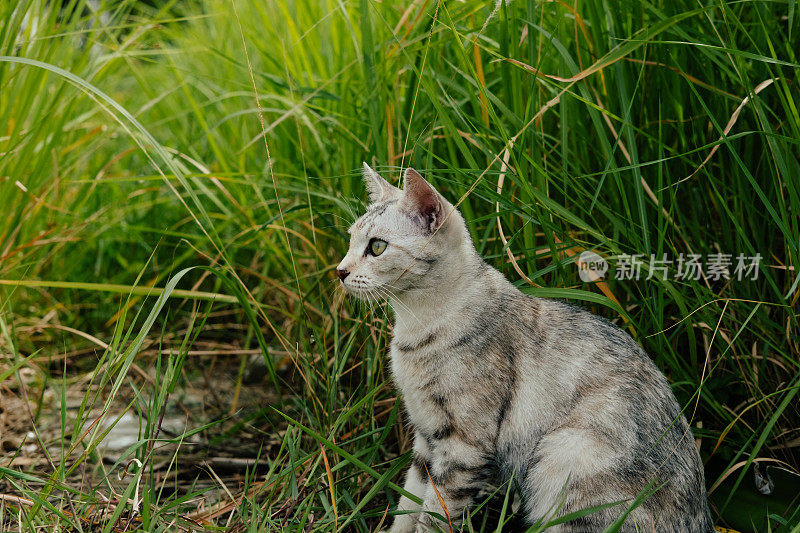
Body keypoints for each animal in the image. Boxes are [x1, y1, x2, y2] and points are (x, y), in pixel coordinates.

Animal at [336, 163, 712, 532]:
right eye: (350, 240)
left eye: (377, 247)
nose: (340, 271)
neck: (416, 327)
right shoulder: (425, 438)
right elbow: (407, 507)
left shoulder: (464, 447)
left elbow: (434, 517)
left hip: (564, 456)